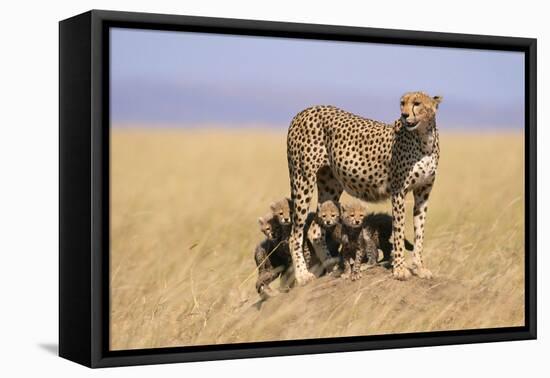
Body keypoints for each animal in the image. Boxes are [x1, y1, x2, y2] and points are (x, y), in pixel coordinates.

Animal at [288, 93, 444, 284]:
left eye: (417, 103)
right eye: (402, 103)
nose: (404, 115)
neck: (424, 139)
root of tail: (305, 110)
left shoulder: (423, 193)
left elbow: (419, 232)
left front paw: (420, 268)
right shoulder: (398, 192)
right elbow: (399, 231)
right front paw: (400, 269)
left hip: (330, 185)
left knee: (315, 230)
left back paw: (333, 267)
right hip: (303, 179)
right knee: (295, 234)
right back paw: (302, 275)